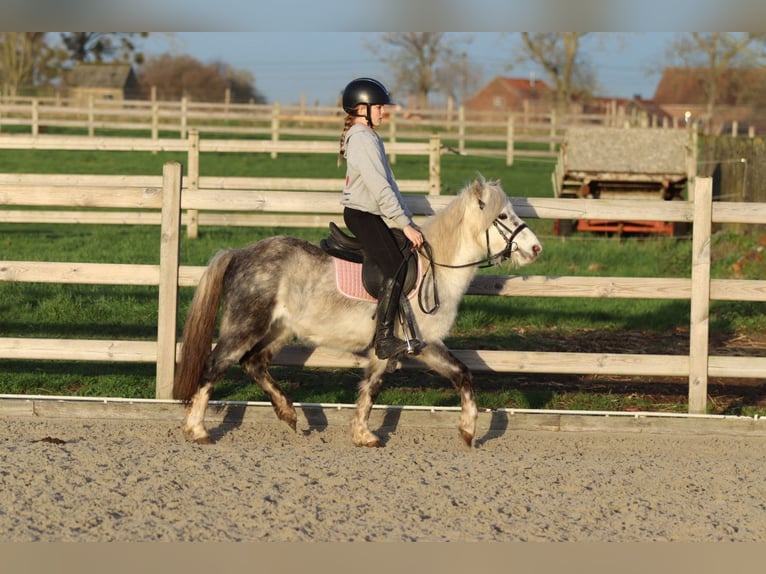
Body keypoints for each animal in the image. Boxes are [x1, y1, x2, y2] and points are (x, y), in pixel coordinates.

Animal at [172, 176, 542, 447]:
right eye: (503, 217)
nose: (536, 248)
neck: (434, 269)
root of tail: (239, 253)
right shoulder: (398, 344)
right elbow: (374, 387)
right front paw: (366, 435)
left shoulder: (422, 344)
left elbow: (460, 375)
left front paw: (467, 431)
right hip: (245, 325)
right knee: (215, 365)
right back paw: (198, 430)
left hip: (280, 329)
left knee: (254, 363)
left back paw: (289, 413)